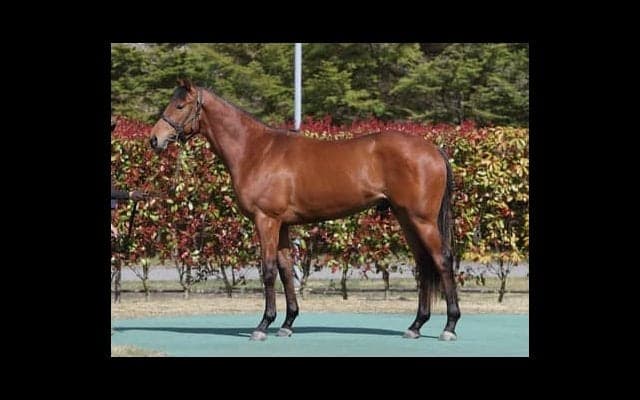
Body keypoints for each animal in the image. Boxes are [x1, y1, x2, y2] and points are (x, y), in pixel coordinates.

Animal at [149, 79, 460, 341]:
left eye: (180, 106)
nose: (154, 139)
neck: (256, 151)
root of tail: (433, 150)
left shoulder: (266, 221)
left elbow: (268, 270)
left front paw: (263, 325)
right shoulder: (283, 225)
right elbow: (286, 269)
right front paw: (287, 324)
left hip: (422, 220)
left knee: (442, 260)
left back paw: (449, 326)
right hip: (406, 218)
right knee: (423, 263)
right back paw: (415, 326)